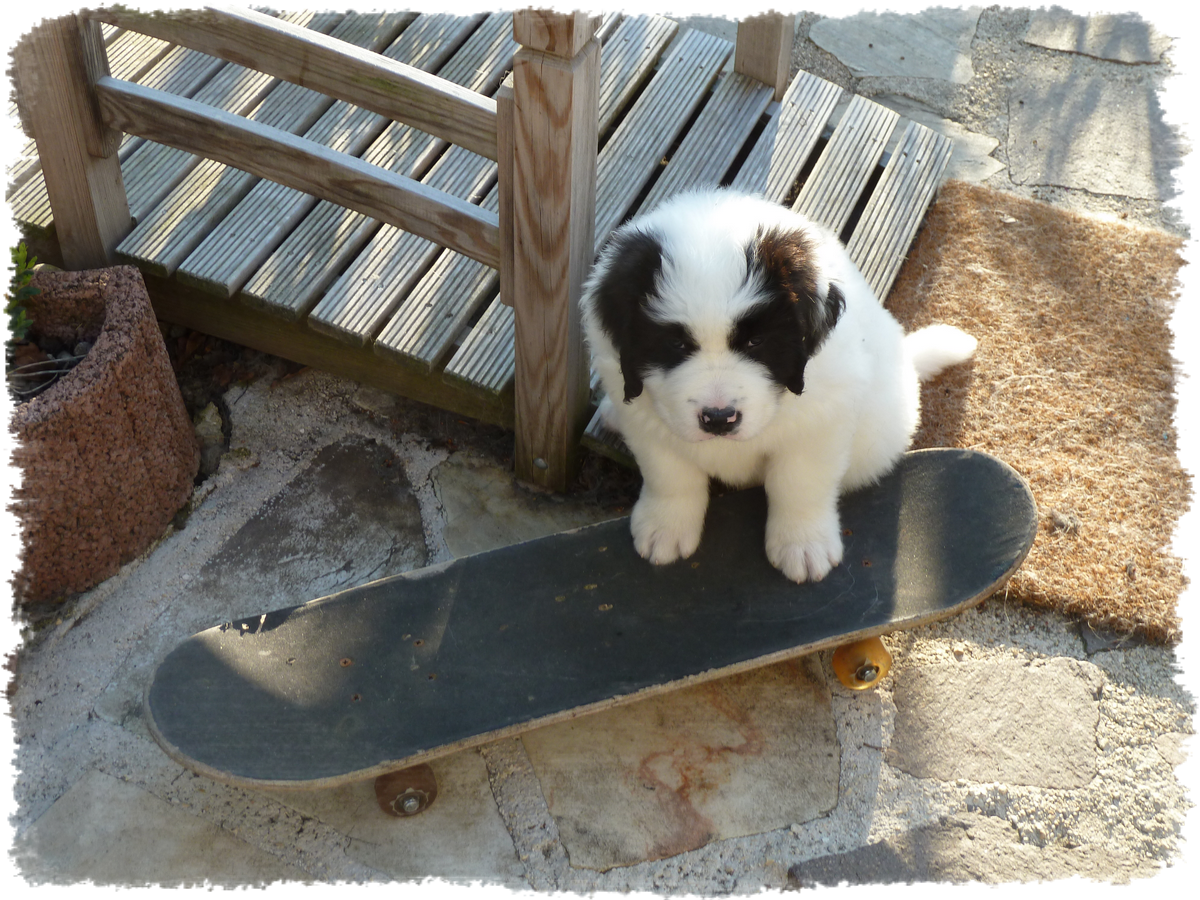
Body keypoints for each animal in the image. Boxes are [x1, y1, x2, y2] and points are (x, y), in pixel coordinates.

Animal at [579, 188, 977, 583]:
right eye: (675, 344)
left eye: (756, 342)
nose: (719, 419)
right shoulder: (647, 417)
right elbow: (669, 474)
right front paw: (666, 527)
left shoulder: (819, 421)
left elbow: (799, 483)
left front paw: (803, 545)